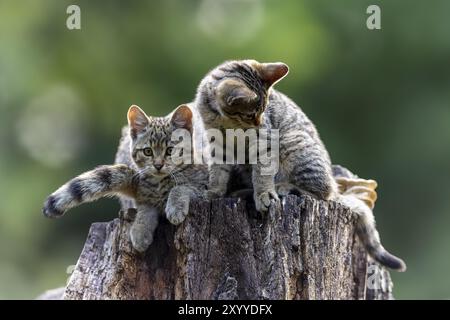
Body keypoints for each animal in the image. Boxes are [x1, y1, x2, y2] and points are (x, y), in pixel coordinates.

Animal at [43, 105, 208, 252]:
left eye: (170, 150)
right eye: (148, 151)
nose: (158, 165)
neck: (159, 183)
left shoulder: (208, 189)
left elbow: (181, 187)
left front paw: (175, 208)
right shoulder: (145, 198)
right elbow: (145, 210)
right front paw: (140, 231)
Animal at [195, 59, 406, 270]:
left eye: (263, 111)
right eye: (250, 114)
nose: (258, 122)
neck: (223, 121)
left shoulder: (264, 140)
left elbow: (262, 174)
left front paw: (264, 194)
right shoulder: (217, 145)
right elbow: (218, 173)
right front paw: (213, 193)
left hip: (291, 141)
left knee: (324, 193)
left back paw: (283, 187)